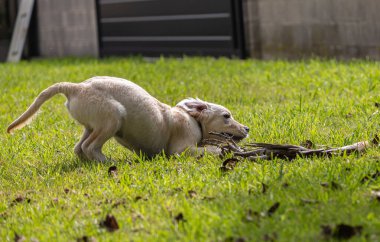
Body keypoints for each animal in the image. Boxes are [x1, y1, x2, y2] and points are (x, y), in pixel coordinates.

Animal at [7, 76, 249, 162]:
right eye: (227, 116)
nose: (247, 128)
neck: (193, 119)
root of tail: (75, 87)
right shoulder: (180, 150)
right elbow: (210, 149)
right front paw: (222, 151)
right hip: (113, 117)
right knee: (89, 147)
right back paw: (108, 163)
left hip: (91, 125)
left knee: (79, 147)